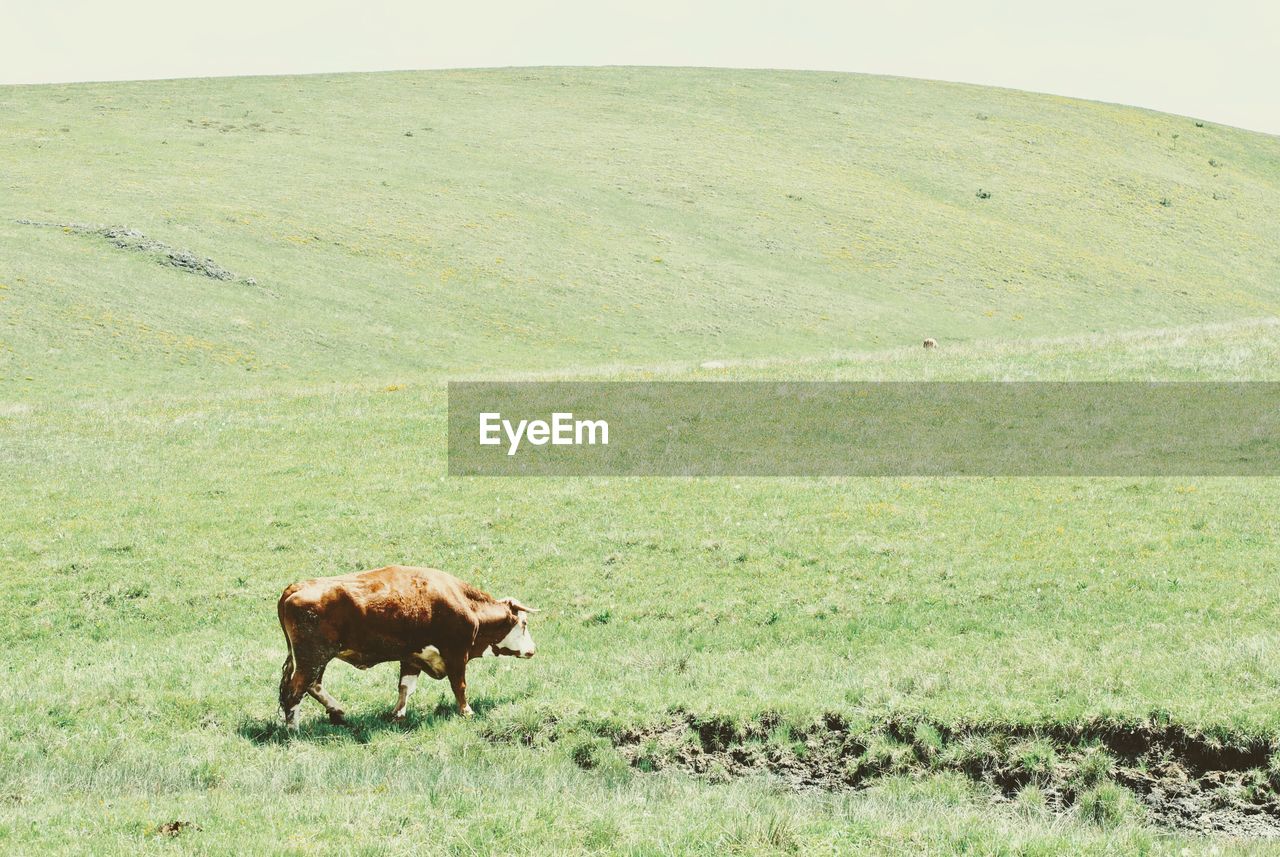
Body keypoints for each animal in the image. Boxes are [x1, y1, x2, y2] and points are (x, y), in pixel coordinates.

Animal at [277, 567, 537, 726]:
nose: (533, 649)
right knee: (295, 691)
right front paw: (466, 711)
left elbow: (405, 687)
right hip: (313, 658)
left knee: (312, 686)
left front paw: (398, 715)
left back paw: (338, 712)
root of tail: (295, 587)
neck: (466, 603)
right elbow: (459, 686)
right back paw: (293, 729)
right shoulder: (456, 654)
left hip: (316, 659)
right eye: (524, 623)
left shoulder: (412, 657)